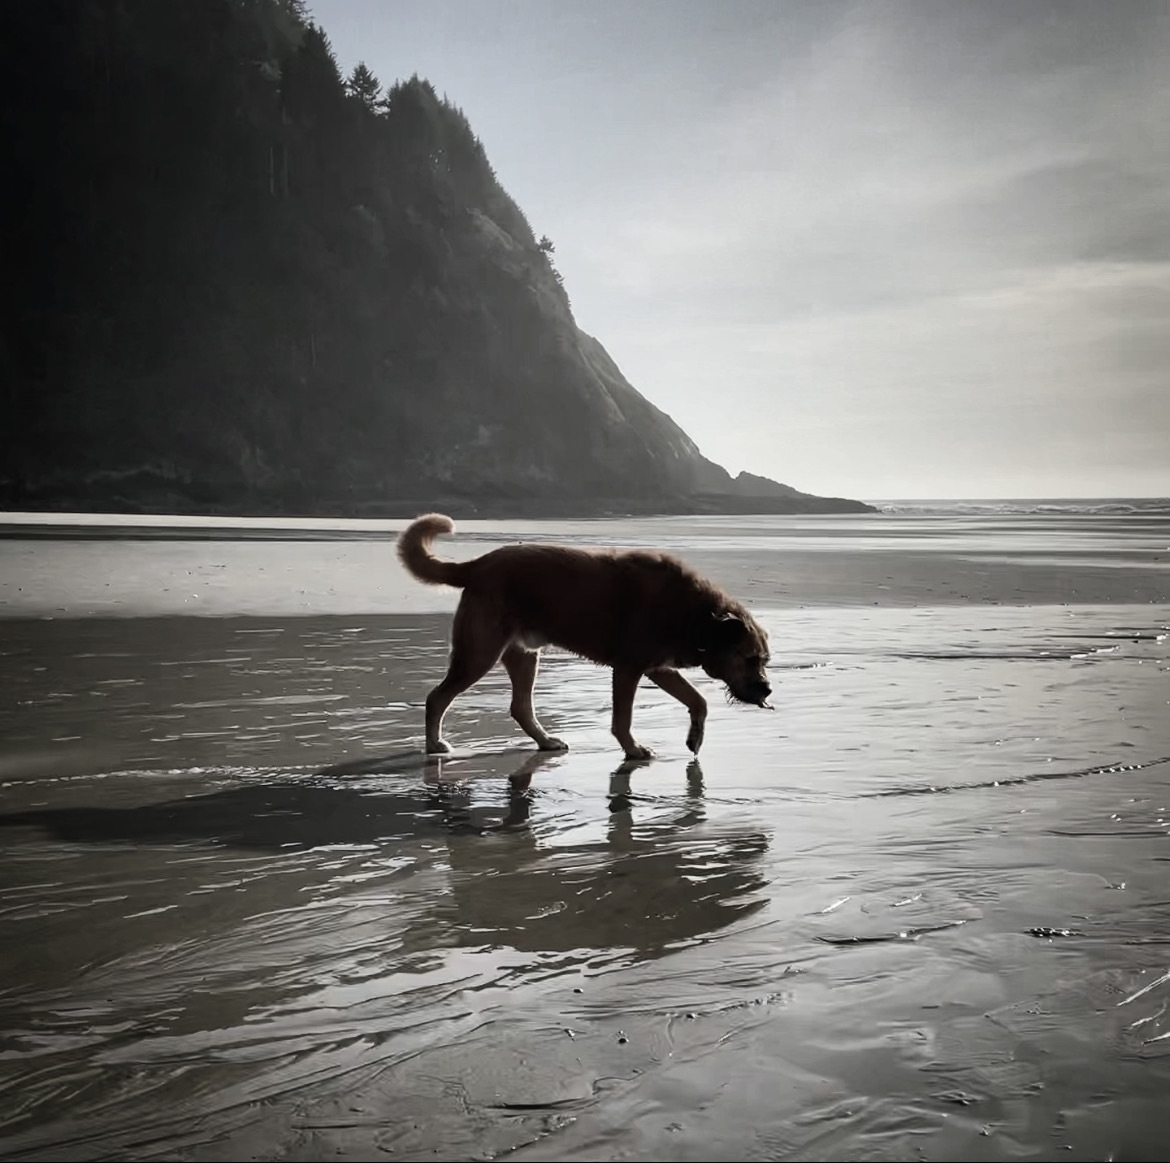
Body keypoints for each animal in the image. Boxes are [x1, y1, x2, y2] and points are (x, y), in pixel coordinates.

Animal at [397, 512, 772, 758]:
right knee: (437, 698)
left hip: (523, 654)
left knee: (520, 707)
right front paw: (632, 748)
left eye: (765, 661)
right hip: (479, 653)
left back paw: (545, 741)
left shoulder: (659, 668)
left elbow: (698, 700)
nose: (767, 688)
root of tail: (475, 565)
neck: (698, 616)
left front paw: (695, 737)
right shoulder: (629, 669)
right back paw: (434, 745)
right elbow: (623, 719)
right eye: (750, 658)